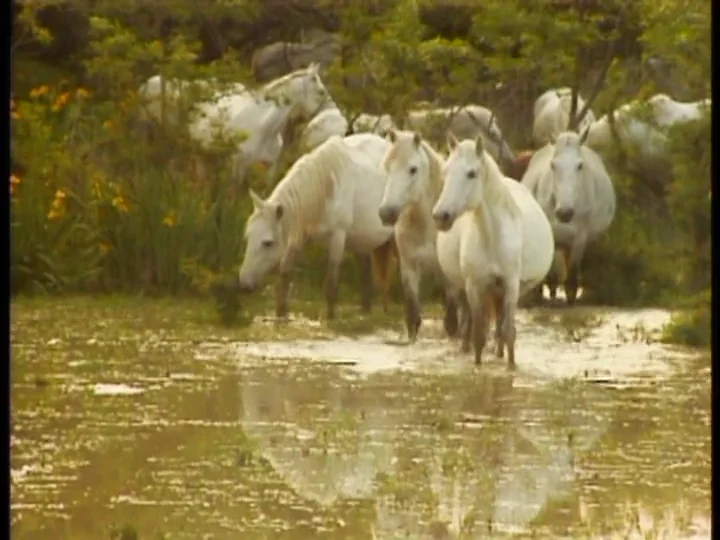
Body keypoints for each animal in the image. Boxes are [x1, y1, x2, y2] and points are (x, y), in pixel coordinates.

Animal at [238, 134, 397, 319]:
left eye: (267, 243)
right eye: (247, 238)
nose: (244, 285)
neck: (326, 185)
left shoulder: (338, 236)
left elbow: (331, 283)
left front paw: (329, 317)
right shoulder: (300, 235)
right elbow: (285, 272)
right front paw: (281, 315)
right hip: (363, 240)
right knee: (367, 276)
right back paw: (365, 312)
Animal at [377, 130, 466, 342]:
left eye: (413, 169)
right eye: (387, 166)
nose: (386, 213)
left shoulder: (449, 278)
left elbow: (451, 323)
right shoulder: (409, 268)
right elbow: (412, 319)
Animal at [432, 135, 554, 367]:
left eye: (471, 173)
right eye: (445, 171)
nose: (441, 216)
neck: (492, 238)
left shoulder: (511, 285)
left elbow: (508, 331)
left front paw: (511, 366)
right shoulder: (474, 286)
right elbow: (478, 334)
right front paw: (478, 365)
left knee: (501, 325)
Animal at [521, 130, 616, 306]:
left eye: (580, 166)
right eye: (553, 165)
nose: (564, 213)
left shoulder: (580, 237)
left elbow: (573, 268)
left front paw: (570, 295)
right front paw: (540, 294)